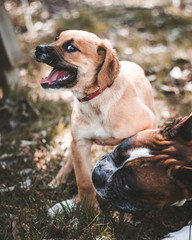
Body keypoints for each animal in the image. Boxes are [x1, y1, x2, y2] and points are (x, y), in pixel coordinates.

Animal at [34, 29, 158, 206]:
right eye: (56, 39)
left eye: (70, 47)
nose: (37, 49)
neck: (95, 99)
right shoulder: (80, 143)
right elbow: (83, 180)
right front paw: (88, 207)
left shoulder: (146, 123)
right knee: (69, 158)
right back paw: (57, 180)